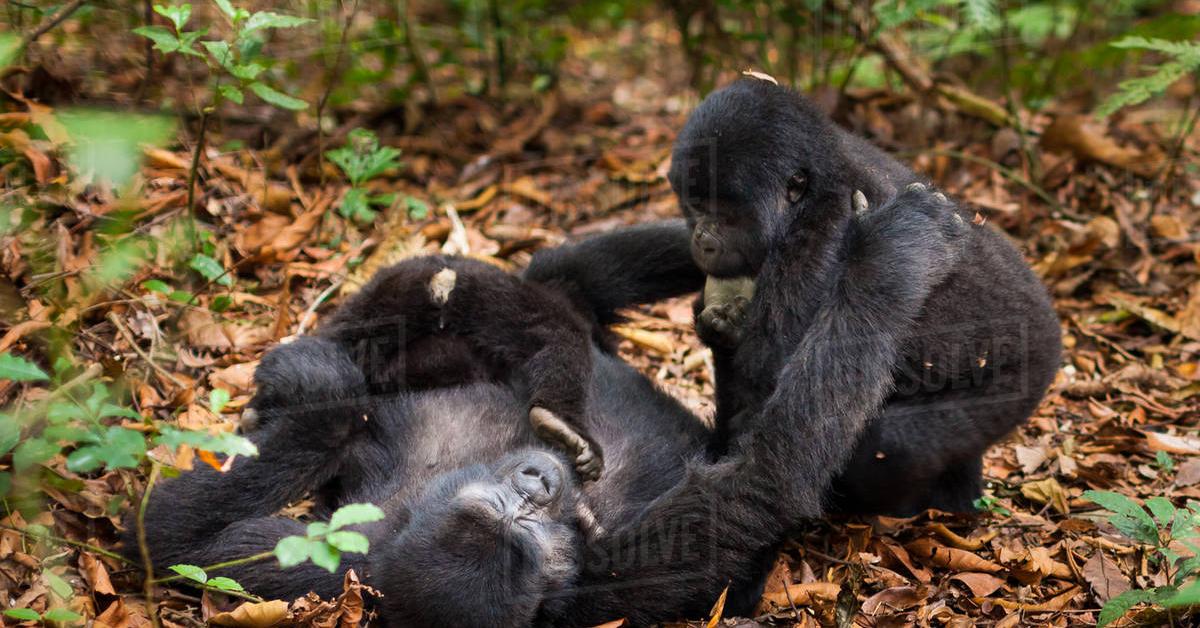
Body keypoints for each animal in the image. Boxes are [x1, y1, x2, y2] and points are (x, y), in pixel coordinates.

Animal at [121, 187, 964, 624]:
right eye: (520, 524)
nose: (540, 482)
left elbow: (172, 535)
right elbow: (771, 475)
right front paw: (897, 256)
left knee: (554, 277)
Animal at [667, 77, 1060, 516]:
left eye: (723, 213)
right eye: (694, 205)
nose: (701, 238)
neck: (814, 188)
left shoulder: (820, 239)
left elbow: (771, 382)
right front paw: (719, 325)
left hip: (1024, 374)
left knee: (889, 443)